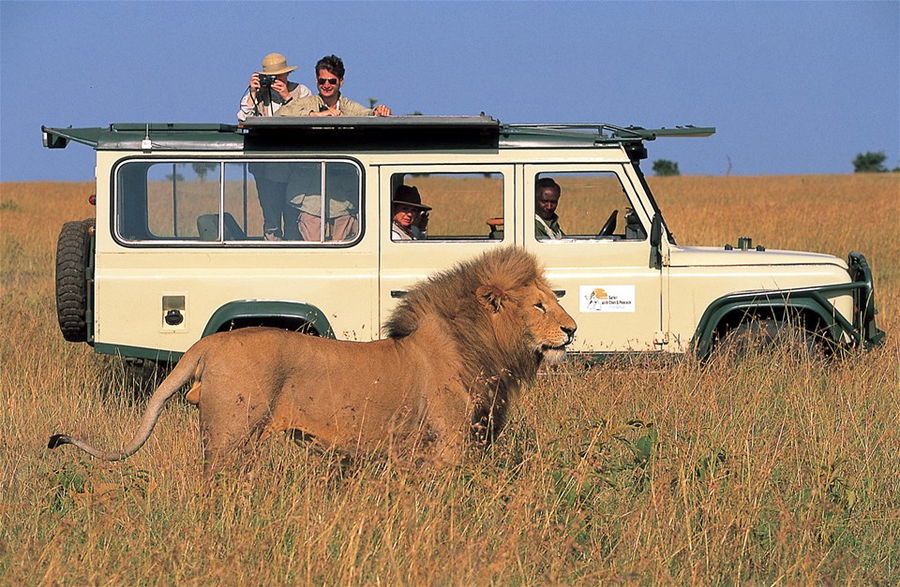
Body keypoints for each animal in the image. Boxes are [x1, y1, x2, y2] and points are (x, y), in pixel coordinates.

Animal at [51, 248, 576, 468]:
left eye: (552, 299)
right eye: (539, 305)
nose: (572, 329)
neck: (484, 346)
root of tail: (207, 345)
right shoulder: (448, 442)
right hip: (229, 435)